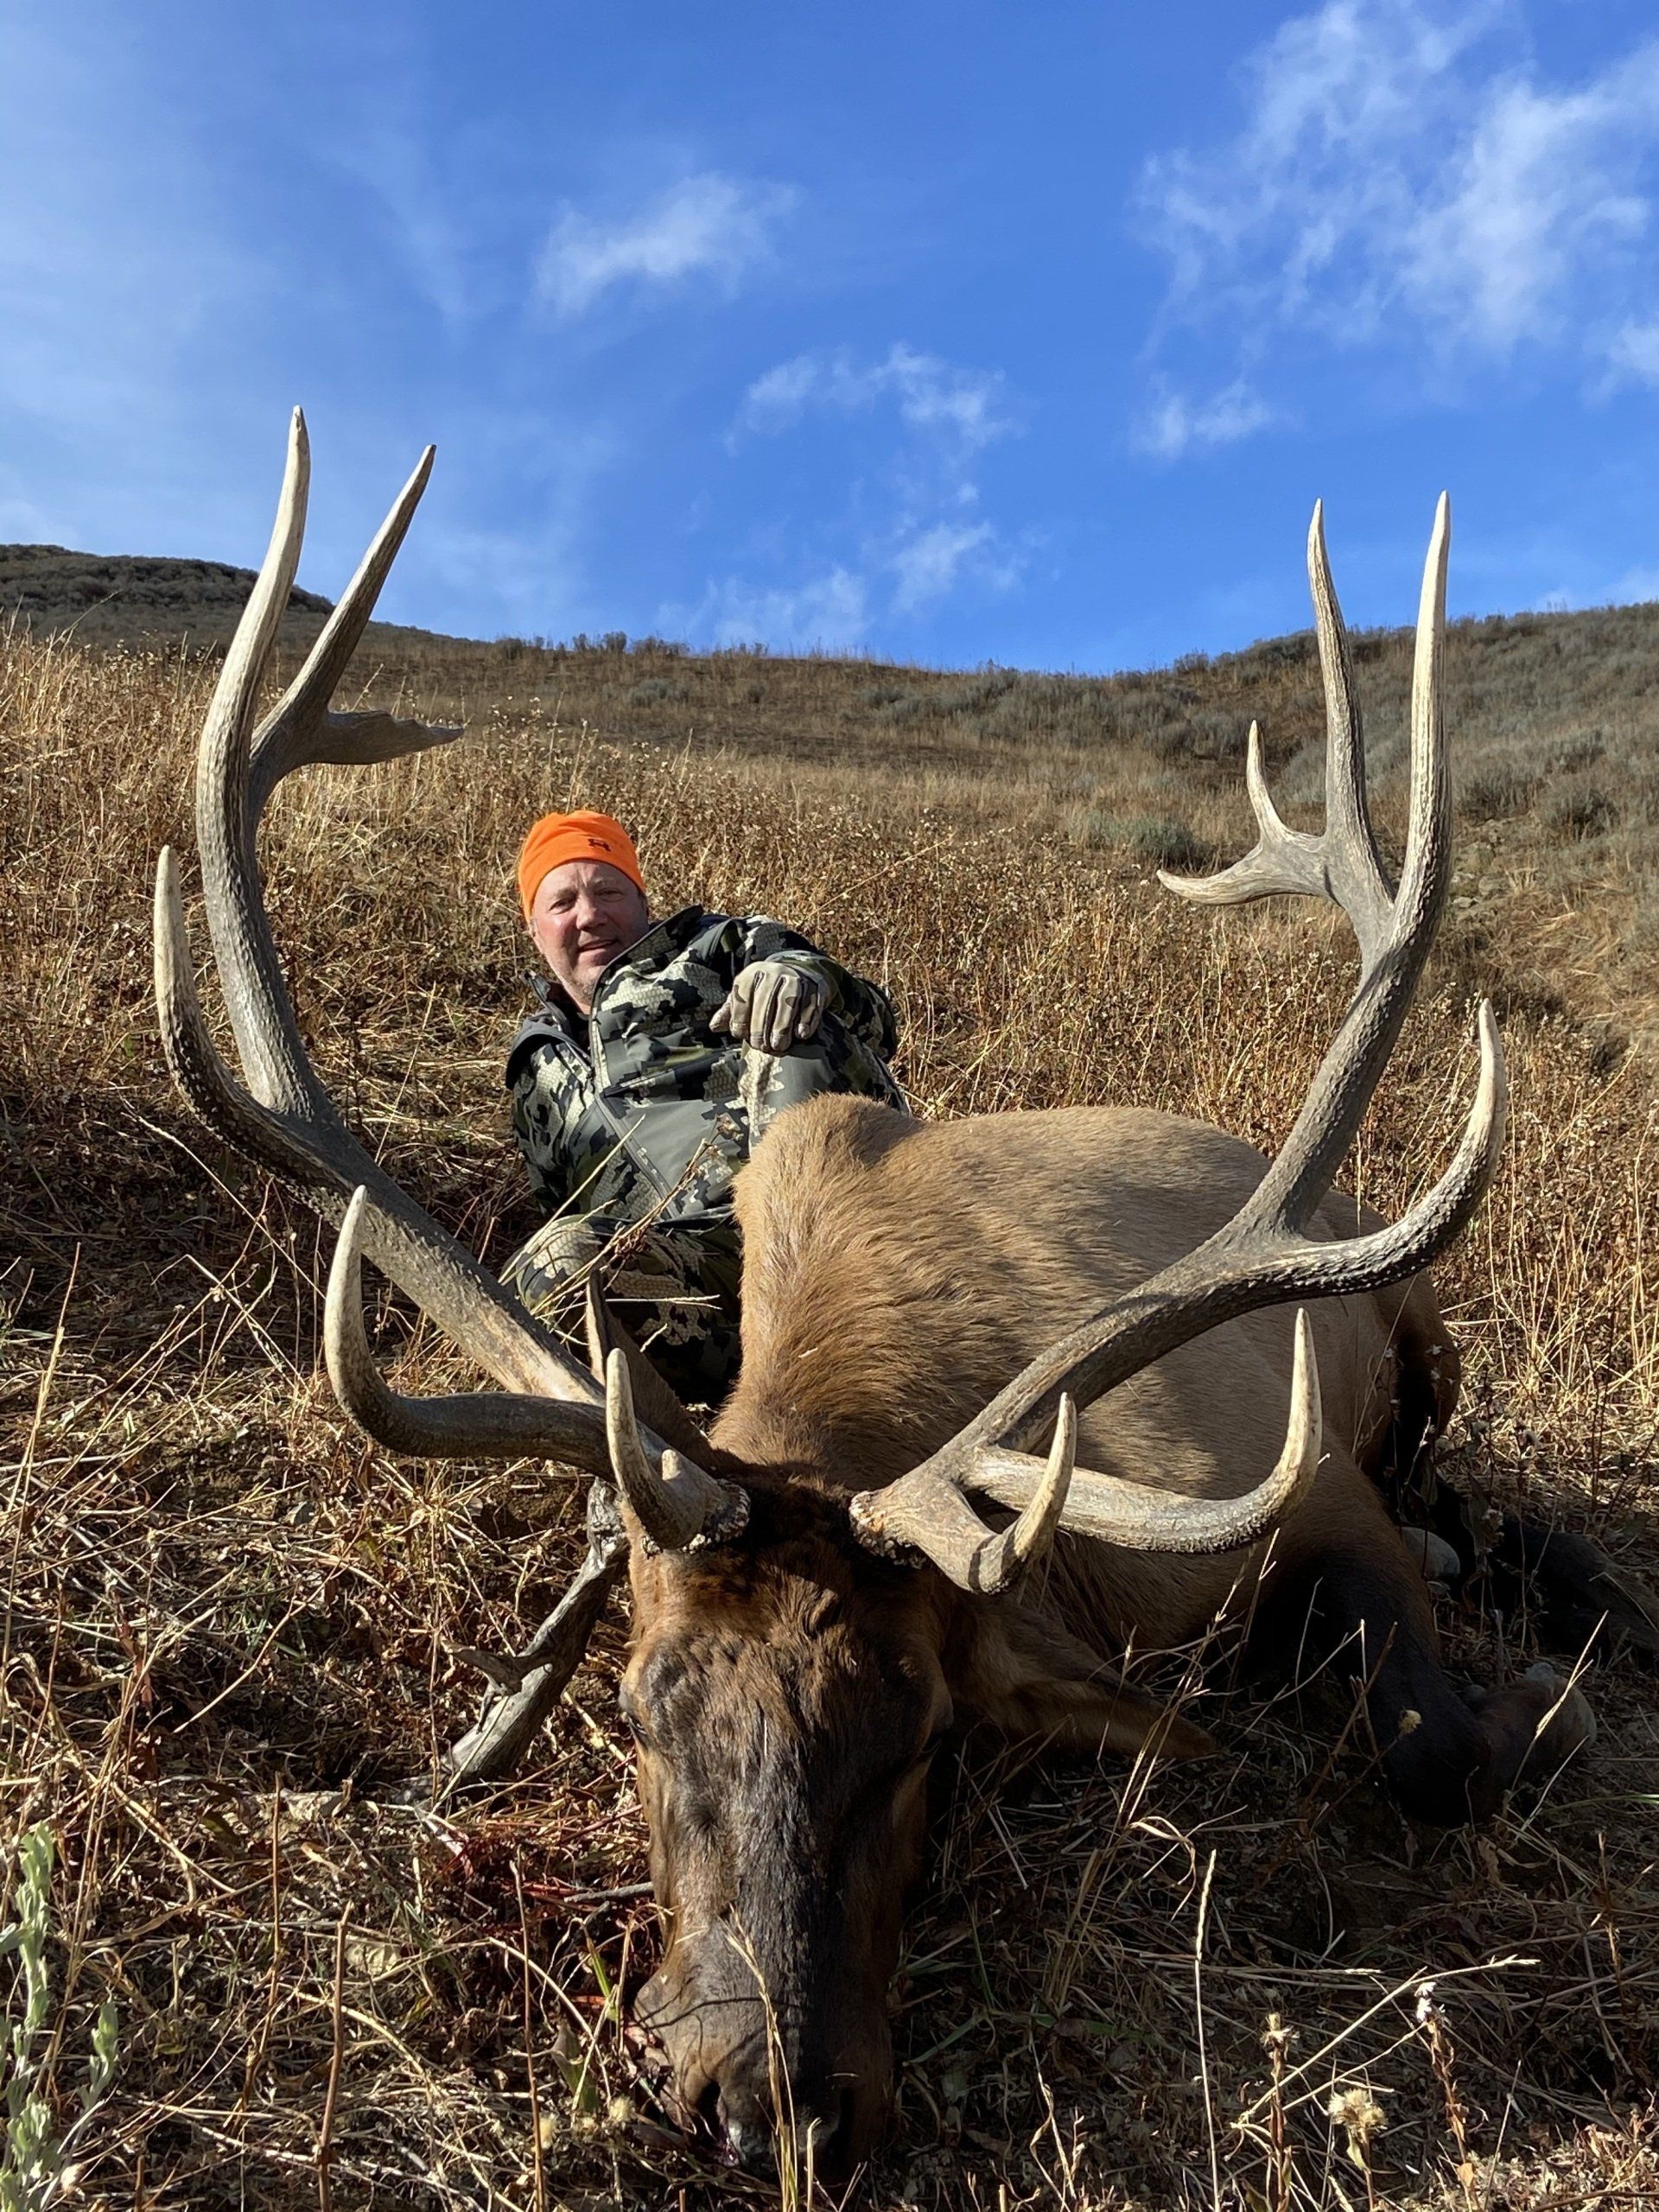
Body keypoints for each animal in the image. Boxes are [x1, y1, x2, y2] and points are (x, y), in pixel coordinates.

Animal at [155, 413, 1606, 2181]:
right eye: (639, 1708)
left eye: (923, 1731)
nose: (761, 2099)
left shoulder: (1295, 1481)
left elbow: (1434, 1745)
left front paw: (1532, 1703)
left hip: (1420, 1335)